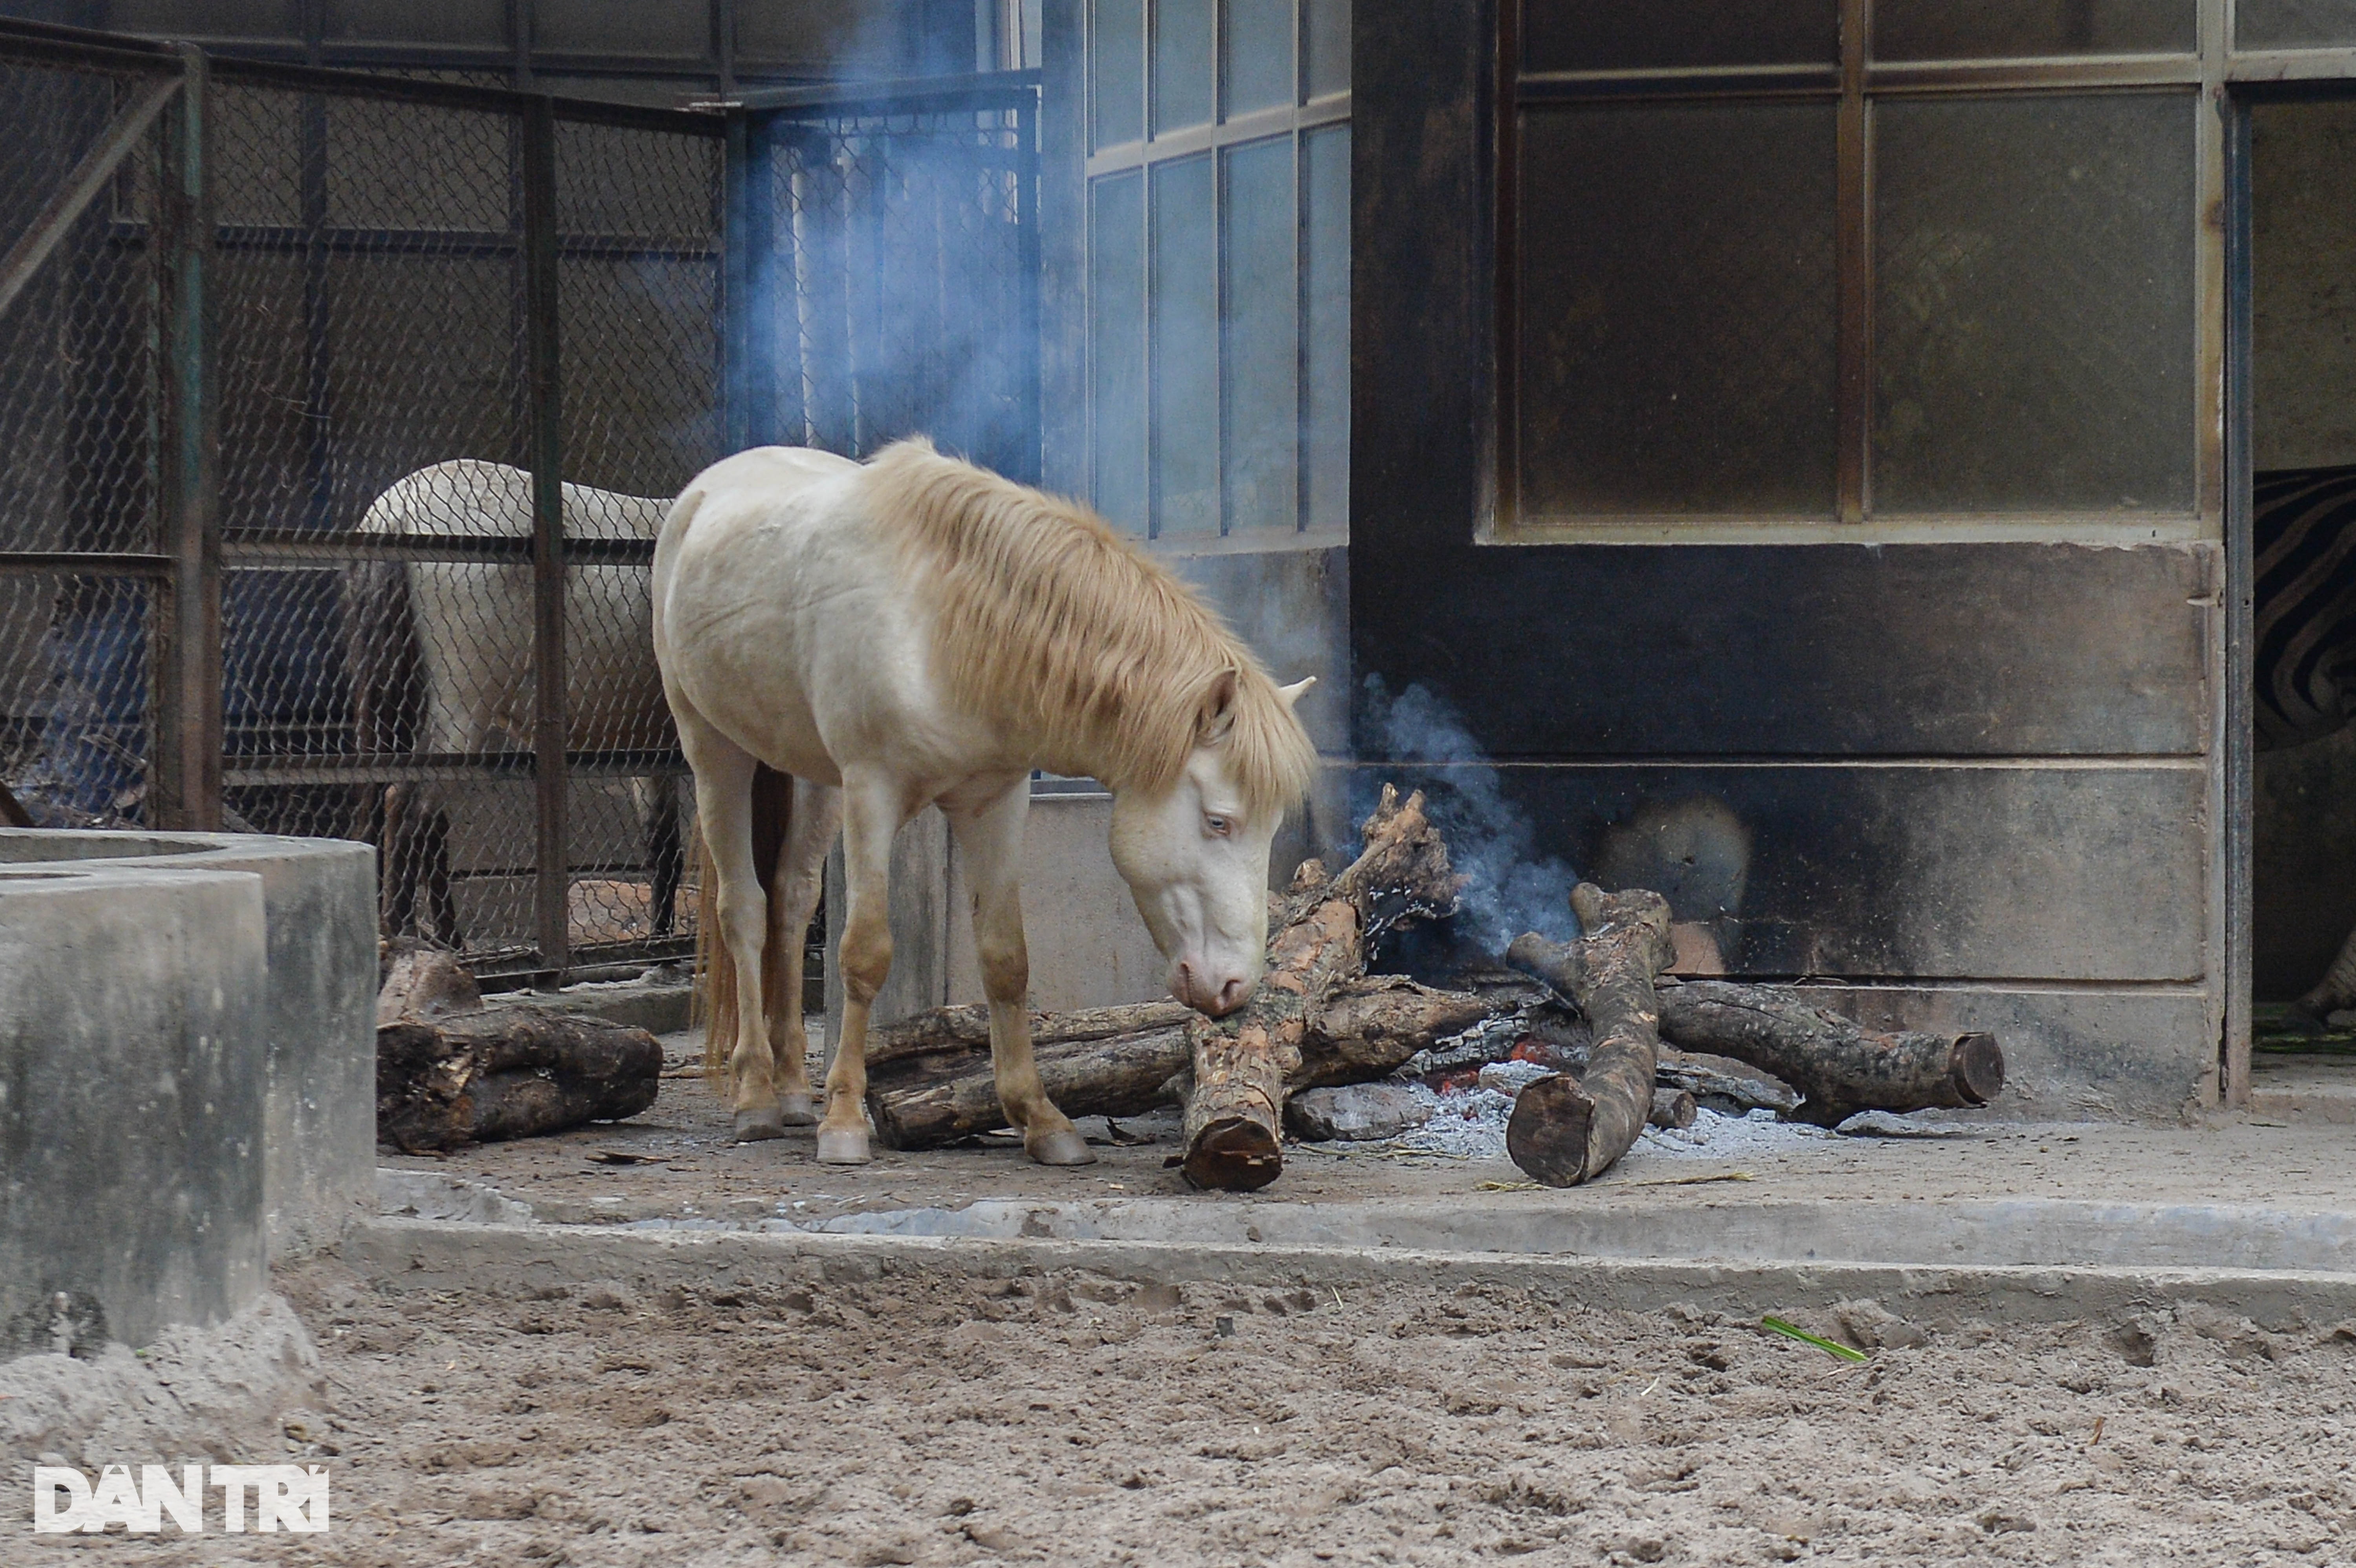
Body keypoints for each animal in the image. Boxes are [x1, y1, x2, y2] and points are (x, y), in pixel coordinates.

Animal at [349, 452, 688, 941]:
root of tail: (395, 512)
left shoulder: (651, 743)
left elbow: (664, 849)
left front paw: (658, 942)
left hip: (390, 696)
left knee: (384, 800)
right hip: (462, 706)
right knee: (411, 808)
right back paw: (405, 930)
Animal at [660, 440, 1329, 1158]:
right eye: (1218, 821)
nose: (1234, 987)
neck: (940, 622)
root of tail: (706, 488)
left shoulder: (996, 801)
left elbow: (1007, 960)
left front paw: (1041, 1118)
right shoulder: (873, 790)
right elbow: (865, 953)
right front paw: (842, 1121)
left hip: (814, 778)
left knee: (790, 899)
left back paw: (789, 1092)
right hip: (716, 751)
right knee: (744, 910)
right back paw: (756, 1095)